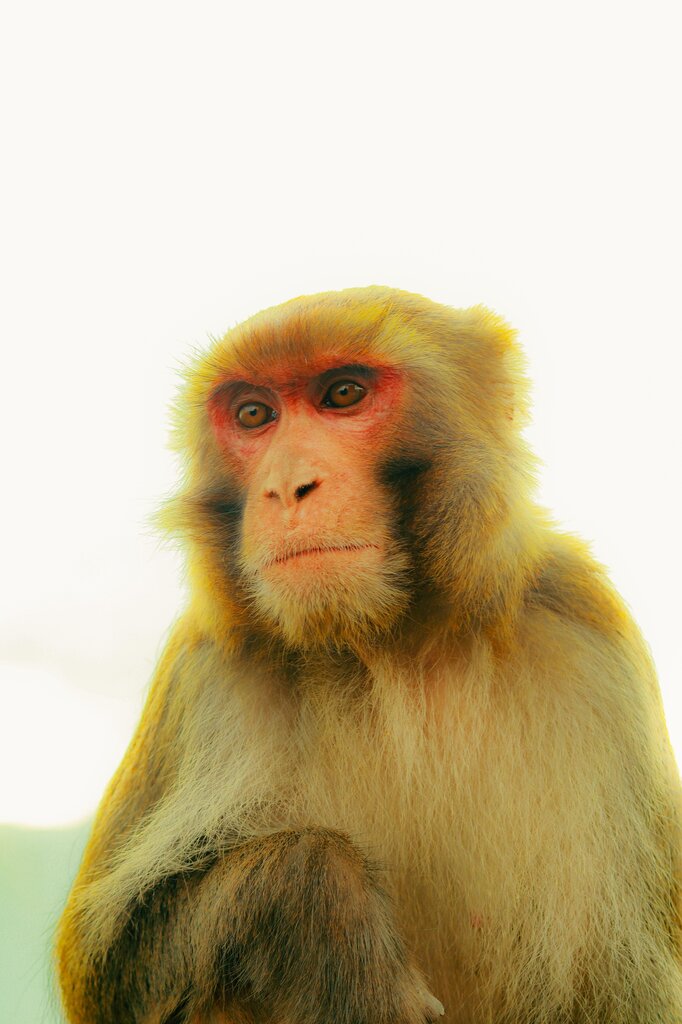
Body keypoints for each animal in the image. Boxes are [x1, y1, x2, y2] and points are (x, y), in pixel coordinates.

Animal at [55, 286, 682, 1023]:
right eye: (254, 414)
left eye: (343, 394)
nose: (287, 486)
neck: (390, 644)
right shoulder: (207, 673)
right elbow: (105, 963)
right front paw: (323, 907)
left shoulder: (590, 638)